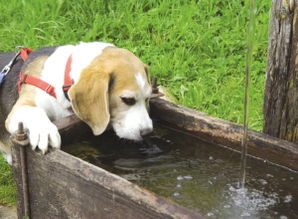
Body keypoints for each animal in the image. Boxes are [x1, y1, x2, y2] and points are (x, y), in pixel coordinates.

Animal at [0, 42, 152, 163]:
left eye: (147, 98)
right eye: (127, 100)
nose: (147, 132)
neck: (61, 80)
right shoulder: (21, 108)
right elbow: (34, 112)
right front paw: (45, 131)